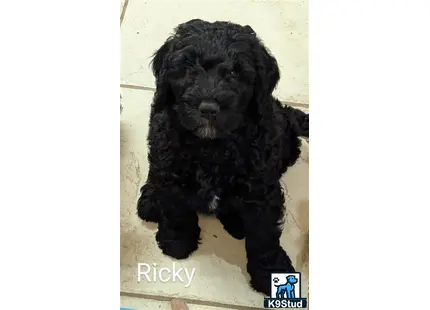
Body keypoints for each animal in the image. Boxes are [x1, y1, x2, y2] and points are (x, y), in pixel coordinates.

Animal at [138, 19, 310, 296]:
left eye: (236, 73)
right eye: (188, 67)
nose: (208, 108)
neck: (212, 146)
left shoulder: (261, 192)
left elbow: (264, 236)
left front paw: (270, 273)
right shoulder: (172, 169)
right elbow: (176, 209)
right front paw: (177, 241)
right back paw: (151, 198)